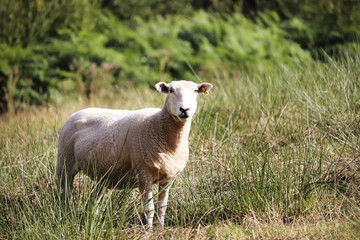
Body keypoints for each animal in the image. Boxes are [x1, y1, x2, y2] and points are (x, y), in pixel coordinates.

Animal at [56, 80, 212, 227]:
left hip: (103, 174)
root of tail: (76, 113)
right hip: (65, 164)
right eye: (171, 90)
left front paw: (161, 229)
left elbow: (162, 208)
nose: (184, 109)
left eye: (195, 91)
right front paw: (149, 231)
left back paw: (93, 220)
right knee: (64, 195)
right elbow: (149, 209)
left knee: (94, 200)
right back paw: (63, 218)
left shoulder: (168, 178)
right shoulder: (144, 175)